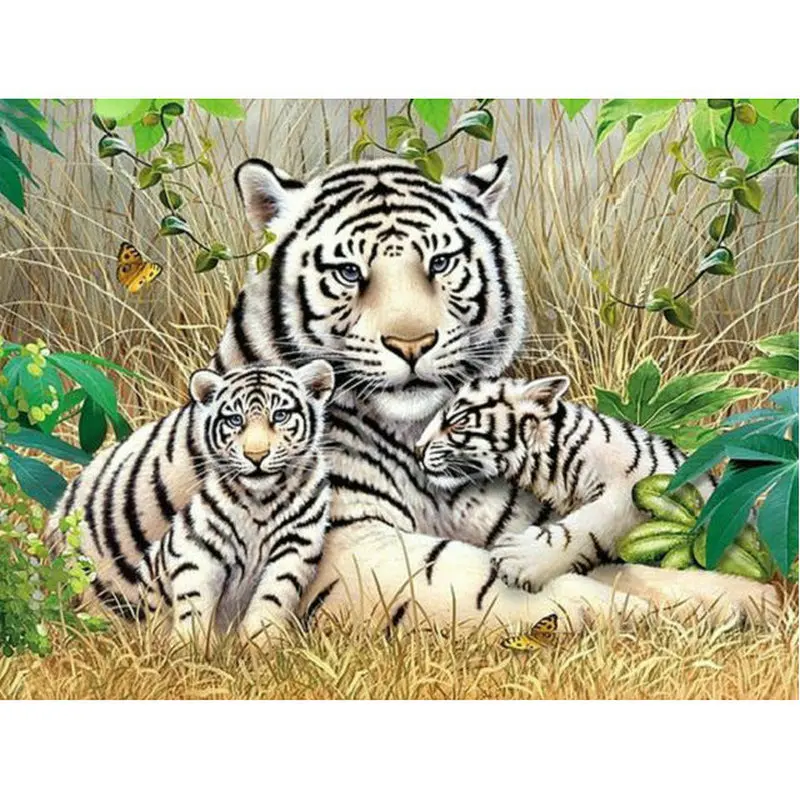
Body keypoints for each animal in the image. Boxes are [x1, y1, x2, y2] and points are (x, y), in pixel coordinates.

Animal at [139, 361, 333, 643]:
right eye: (235, 420)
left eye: (280, 416)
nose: (256, 456)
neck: (261, 501)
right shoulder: (196, 547)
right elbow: (194, 603)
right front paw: (188, 647)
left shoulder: (295, 546)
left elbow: (272, 597)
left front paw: (260, 644)